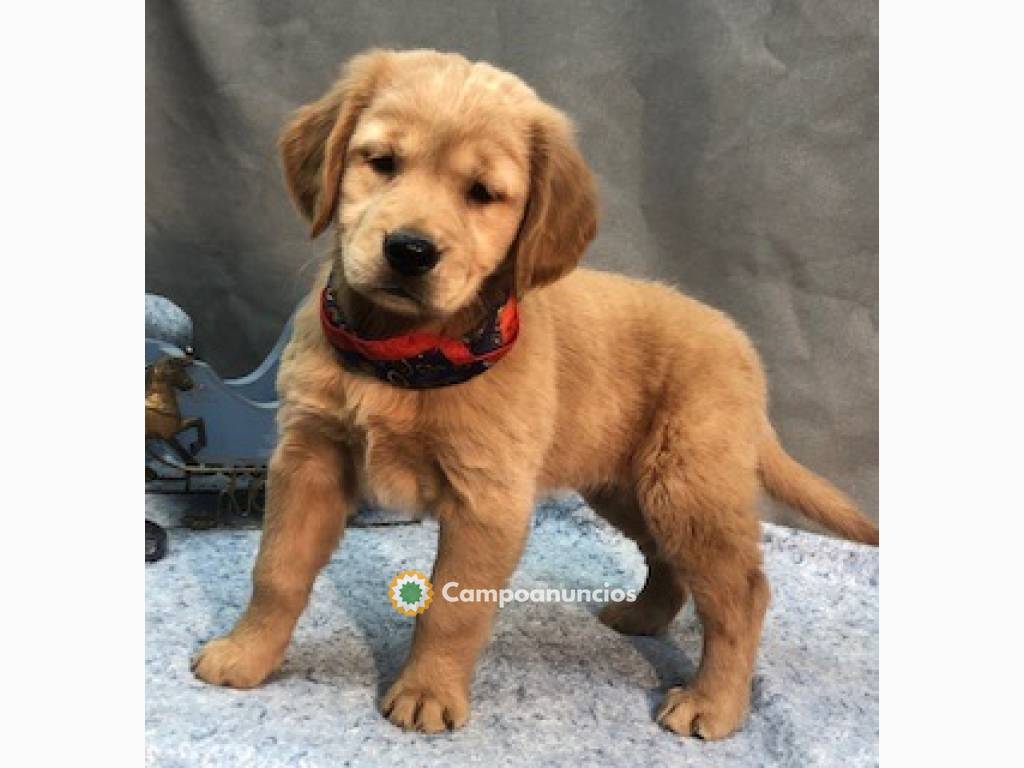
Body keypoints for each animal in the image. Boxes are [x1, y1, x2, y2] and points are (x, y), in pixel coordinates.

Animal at [188, 46, 876, 741]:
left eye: (483, 194)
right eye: (381, 162)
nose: (409, 250)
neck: (403, 357)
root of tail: (741, 345)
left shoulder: (489, 499)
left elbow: (452, 608)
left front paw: (426, 691)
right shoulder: (308, 461)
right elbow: (276, 570)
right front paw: (246, 655)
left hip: (688, 487)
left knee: (742, 593)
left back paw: (713, 703)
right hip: (626, 487)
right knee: (668, 561)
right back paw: (641, 618)